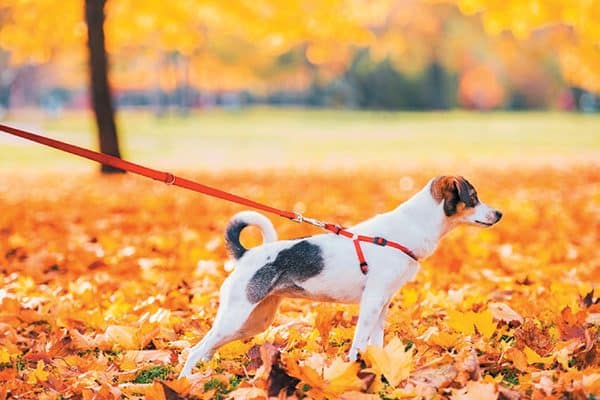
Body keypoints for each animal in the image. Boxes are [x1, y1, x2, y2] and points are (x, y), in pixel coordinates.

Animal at [178, 176, 502, 378]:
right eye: (473, 198)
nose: (498, 214)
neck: (408, 228)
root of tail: (246, 255)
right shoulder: (371, 303)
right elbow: (359, 343)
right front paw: (355, 372)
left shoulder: (382, 304)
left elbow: (376, 342)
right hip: (236, 316)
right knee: (196, 350)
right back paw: (186, 381)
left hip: (254, 322)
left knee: (208, 348)